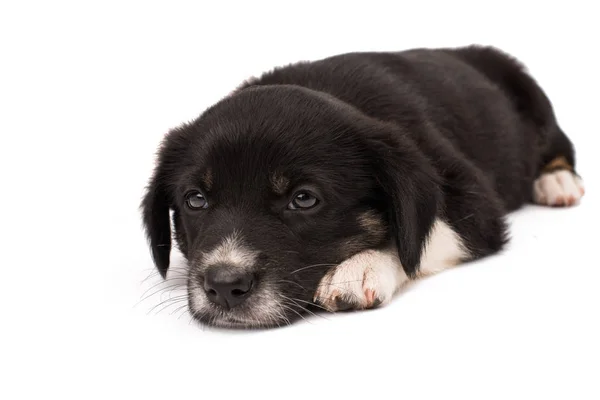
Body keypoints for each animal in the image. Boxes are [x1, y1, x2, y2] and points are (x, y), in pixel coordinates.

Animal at [139, 44, 580, 328]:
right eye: (196, 200)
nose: (224, 286)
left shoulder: (474, 201)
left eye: (304, 199)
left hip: (535, 101)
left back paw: (557, 181)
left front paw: (360, 269)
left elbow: (421, 236)